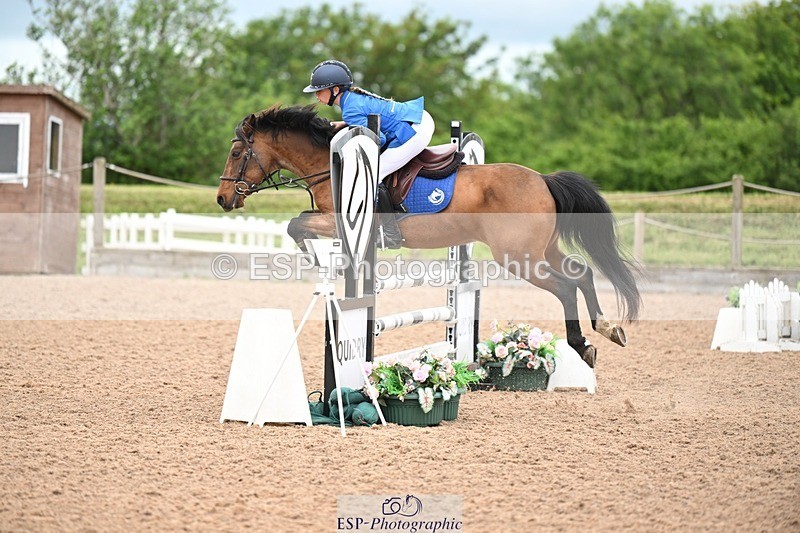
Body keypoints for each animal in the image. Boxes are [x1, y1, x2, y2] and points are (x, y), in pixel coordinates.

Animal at [216, 104, 640, 367]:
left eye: (237, 153)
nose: (222, 199)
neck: (331, 163)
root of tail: (543, 180)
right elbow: (298, 223)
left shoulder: (340, 222)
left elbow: (295, 225)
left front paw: (319, 262)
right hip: (542, 250)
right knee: (582, 273)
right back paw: (606, 330)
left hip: (519, 257)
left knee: (566, 286)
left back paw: (582, 345)